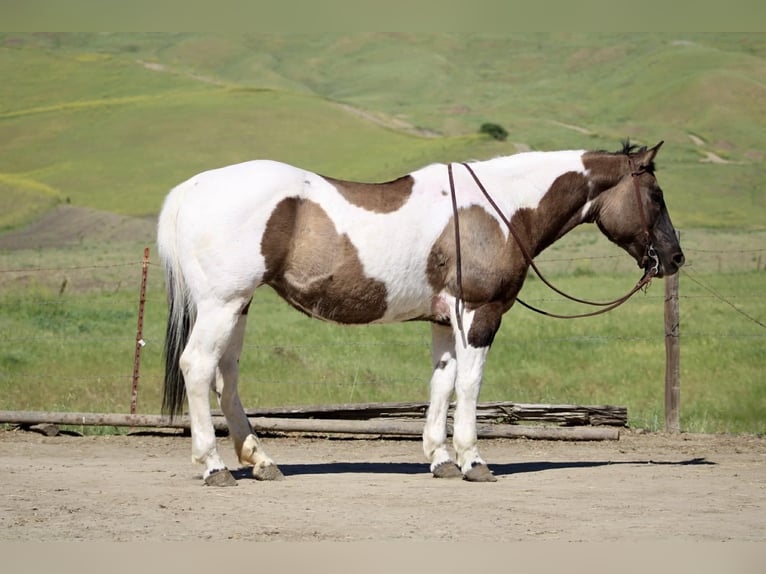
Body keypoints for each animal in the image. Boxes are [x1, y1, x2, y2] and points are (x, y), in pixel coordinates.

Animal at [158, 141, 684, 485]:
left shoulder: (445, 321)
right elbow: (469, 386)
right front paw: (473, 460)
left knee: (226, 376)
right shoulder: (479, 314)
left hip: (238, 306)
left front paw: (441, 458)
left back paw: (261, 461)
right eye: (656, 196)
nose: (675, 258)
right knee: (198, 368)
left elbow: (442, 382)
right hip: (222, 305)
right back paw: (213, 466)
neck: (497, 211)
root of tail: (193, 188)